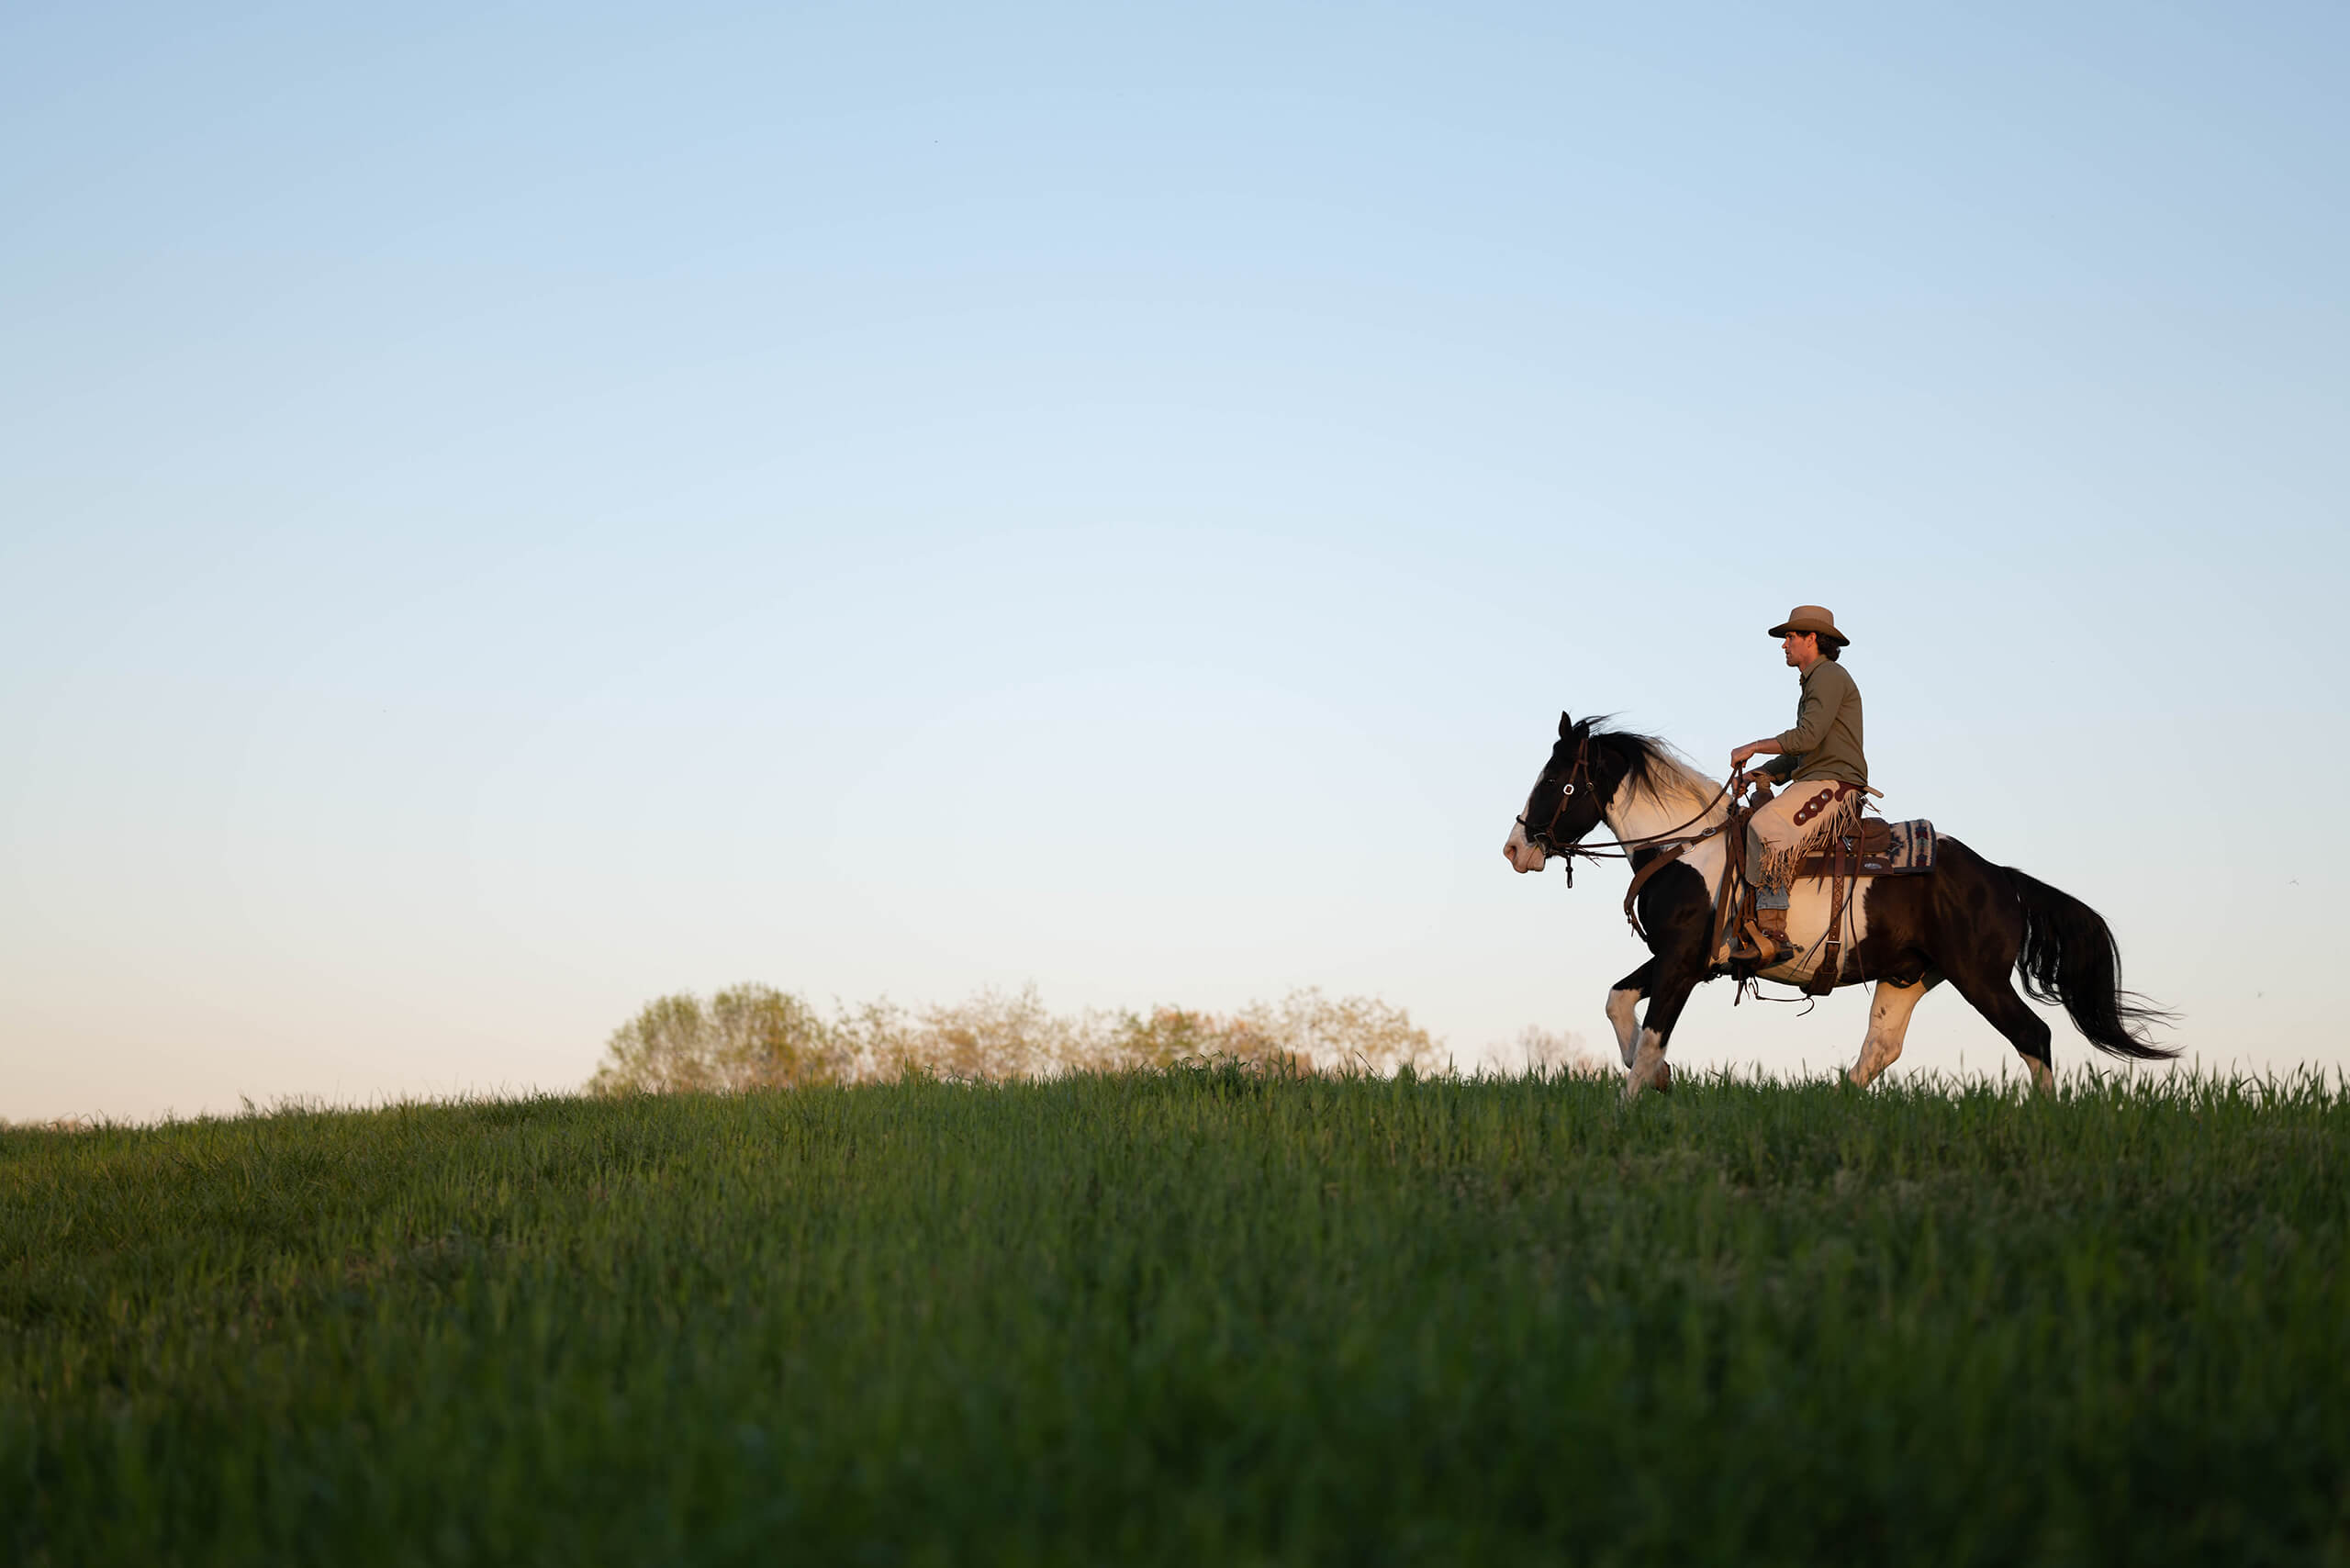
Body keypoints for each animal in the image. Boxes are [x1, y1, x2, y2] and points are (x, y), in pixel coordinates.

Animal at [1494, 714, 2171, 1100]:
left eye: (1555, 779)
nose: (1515, 848)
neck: (1687, 848)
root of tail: (2001, 878)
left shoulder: (1683, 962)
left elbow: (1654, 1034)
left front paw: (1634, 1099)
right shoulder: (1679, 959)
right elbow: (1618, 1003)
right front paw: (1655, 1078)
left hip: (1979, 978)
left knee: (2034, 1034)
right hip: (1908, 977)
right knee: (1879, 1051)